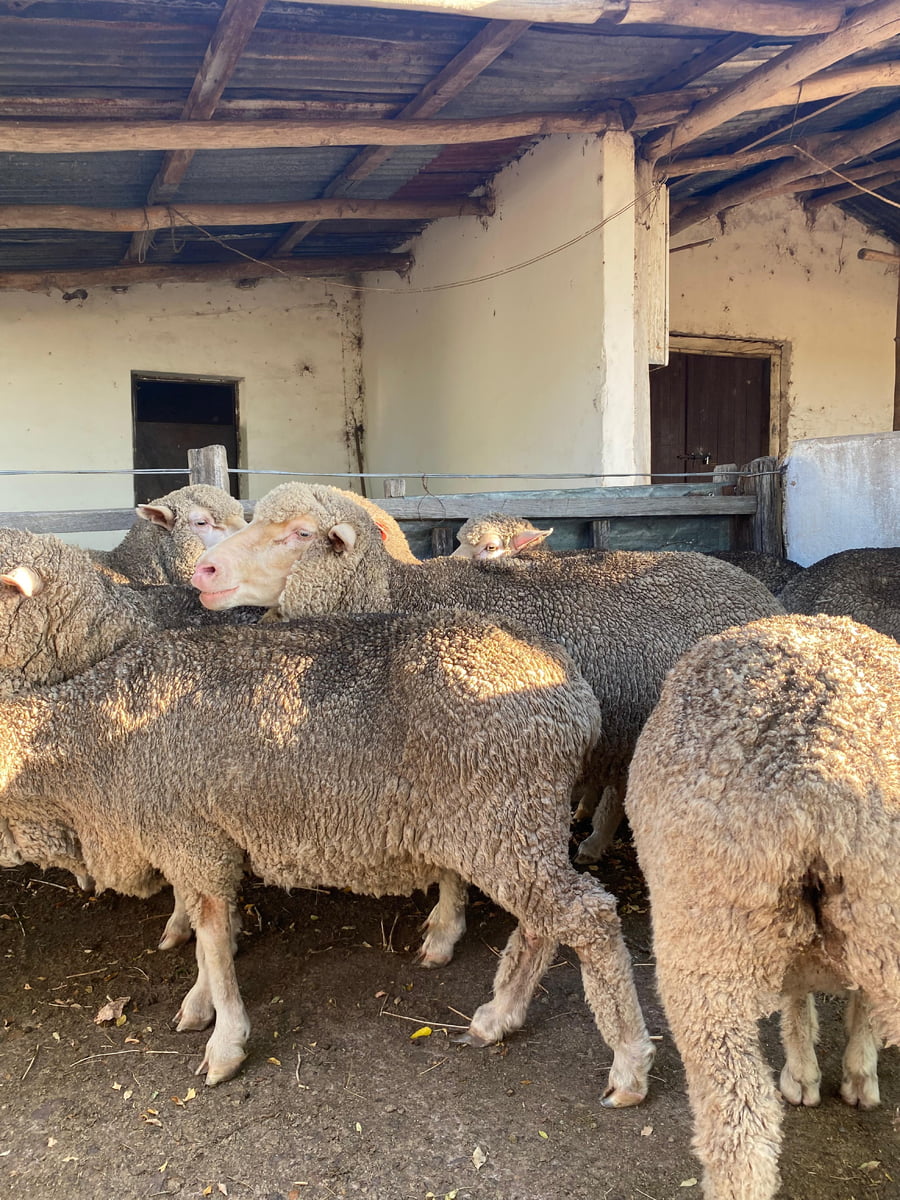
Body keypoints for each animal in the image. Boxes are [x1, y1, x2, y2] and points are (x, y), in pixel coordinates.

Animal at [0, 561, 654, 1102]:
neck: (82, 744)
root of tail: (569, 686)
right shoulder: (191, 841)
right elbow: (209, 928)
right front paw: (198, 1002)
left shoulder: (191, 838)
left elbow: (211, 934)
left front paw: (225, 1043)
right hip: (508, 825)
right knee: (544, 922)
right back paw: (497, 1017)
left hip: (503, 815)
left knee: (587, 917)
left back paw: (627, 1065)